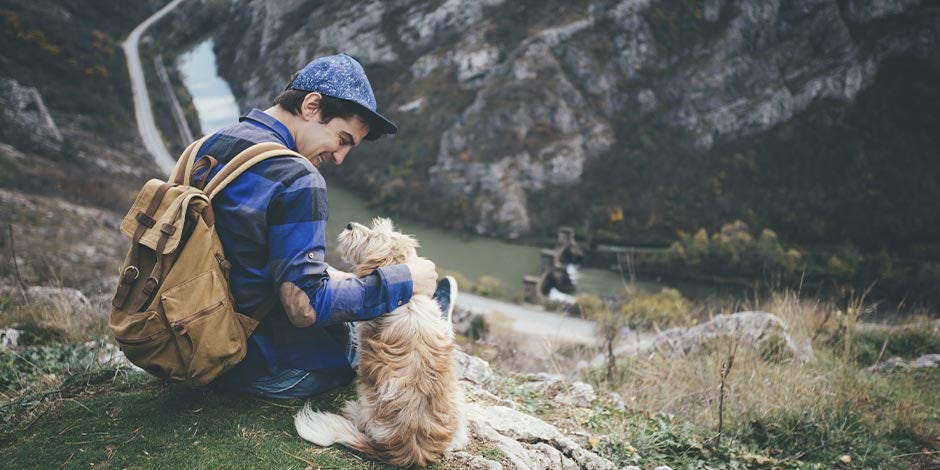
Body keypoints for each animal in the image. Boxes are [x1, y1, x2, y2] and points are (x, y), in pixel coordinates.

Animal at [294, 218, 466, 466]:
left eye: (370, 238)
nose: (350, 225)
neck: (409, 298)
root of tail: (408, 450)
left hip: (369, 399)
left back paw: (352, 410)